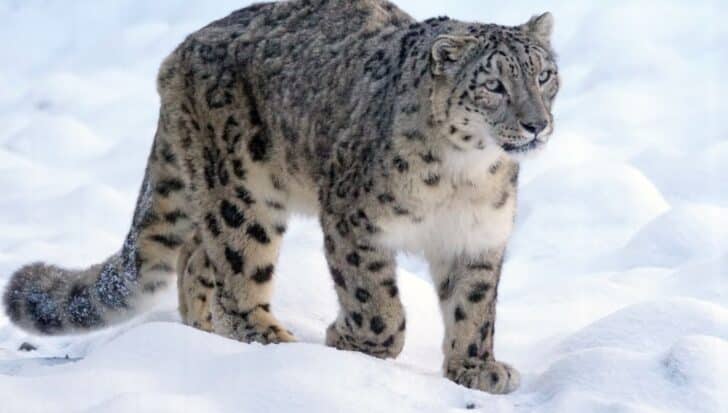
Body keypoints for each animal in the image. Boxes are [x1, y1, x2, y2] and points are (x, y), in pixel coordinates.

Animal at [3, 0, 559, 394]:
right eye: (493, 84)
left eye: (544, 75)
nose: (537, 123)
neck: (464, 176)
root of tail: (179, 52)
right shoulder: (354, 219)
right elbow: (376, 302)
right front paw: (350, 340)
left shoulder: (477, 237)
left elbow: (474, 307)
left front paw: (476, 368)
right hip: (243, 191)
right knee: (234, 270)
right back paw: (269, 341)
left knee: (195, 258)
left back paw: (203, 334)